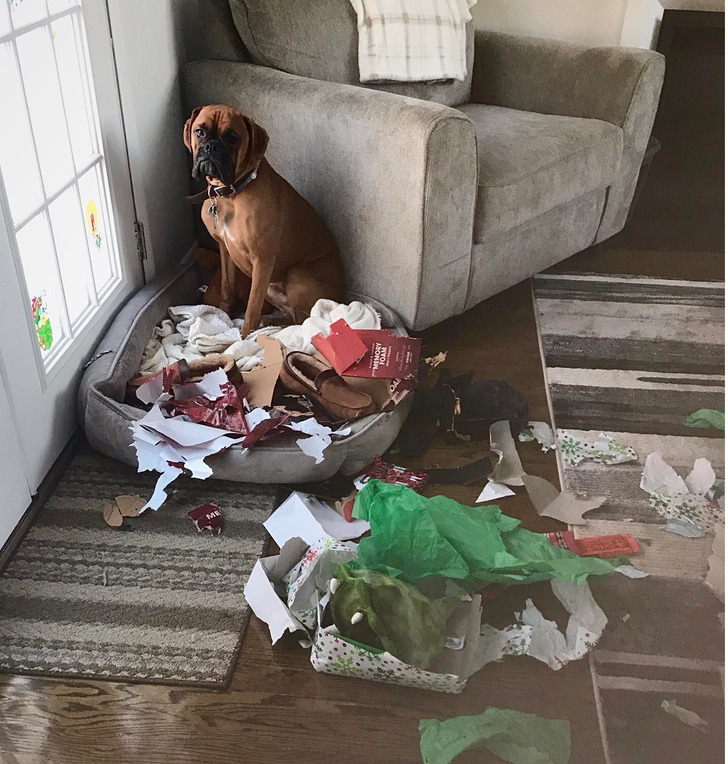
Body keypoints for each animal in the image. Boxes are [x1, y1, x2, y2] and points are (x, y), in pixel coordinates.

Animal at [183, 102, 346, 338]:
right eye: (200, 132)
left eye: (232, 138)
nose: (211, 147)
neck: (231, 195)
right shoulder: (226, 251)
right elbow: (227, 290)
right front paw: (223, 319)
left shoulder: (262, 261)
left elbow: (251, 309)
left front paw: (243, 338)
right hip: (270, 287)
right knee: (293, 317)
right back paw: (268, 322)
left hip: (295, 276)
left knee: (306, 321)